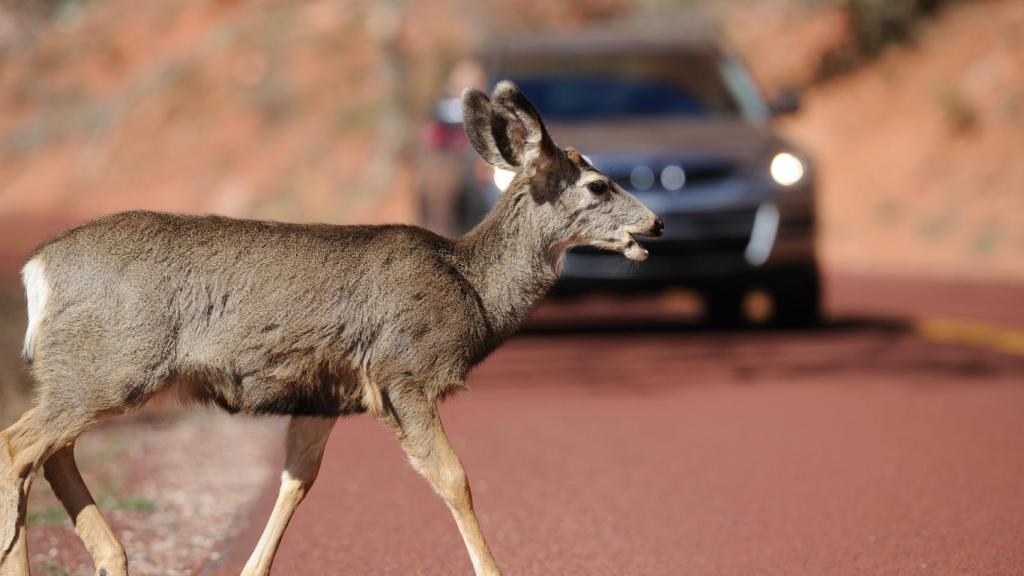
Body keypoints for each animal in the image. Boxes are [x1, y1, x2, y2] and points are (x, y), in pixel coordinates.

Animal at [0, 80, 663, 573]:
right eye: (598, 184)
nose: (654, 224)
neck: (471, 286)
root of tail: (37, 270)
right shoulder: (401, 372)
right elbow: (455, 478)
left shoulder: (324, 393)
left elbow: (296, 482)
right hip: (111, 365)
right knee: (18, 446)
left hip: (87, 372)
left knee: (51, 454)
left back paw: (112, 557)